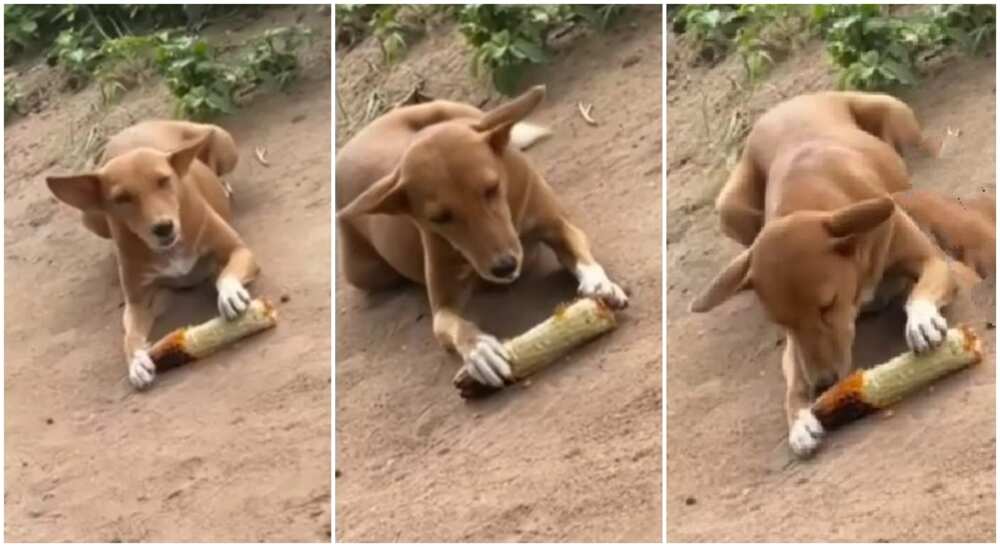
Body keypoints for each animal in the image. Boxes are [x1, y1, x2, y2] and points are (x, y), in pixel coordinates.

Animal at [46, 120, 258, 390]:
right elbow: (130, 334)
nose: (163, 227)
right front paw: (136, 361)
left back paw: (224, 185)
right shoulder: (137, 302)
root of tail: (132, 127)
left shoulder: (238, 249)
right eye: (122, 198)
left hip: (222, 140)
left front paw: (230, 295)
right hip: (90, 217)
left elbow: (227, 274)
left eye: (164, 180)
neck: (170, 250)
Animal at [340, 85, 628, 388]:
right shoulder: (443, 301)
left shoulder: (558, 225)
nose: (505, 267)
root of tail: (357, 138)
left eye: (491, 188)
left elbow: (579, 251)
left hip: (456, 111)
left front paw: (599, 284)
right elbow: (447, 325)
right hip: (365, 272)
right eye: (440, 218)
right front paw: (478, 349)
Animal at [692, 91, 996, 458]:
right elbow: (793, 379)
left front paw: (921, 323)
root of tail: (783, 105)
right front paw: (799, 421)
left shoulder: (931, 260)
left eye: (828, 304)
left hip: (893, 112)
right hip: (728, 207)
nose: (823, 384)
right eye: (783, 324)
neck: (805, 200)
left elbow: (919, 293)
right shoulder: (795, 344)